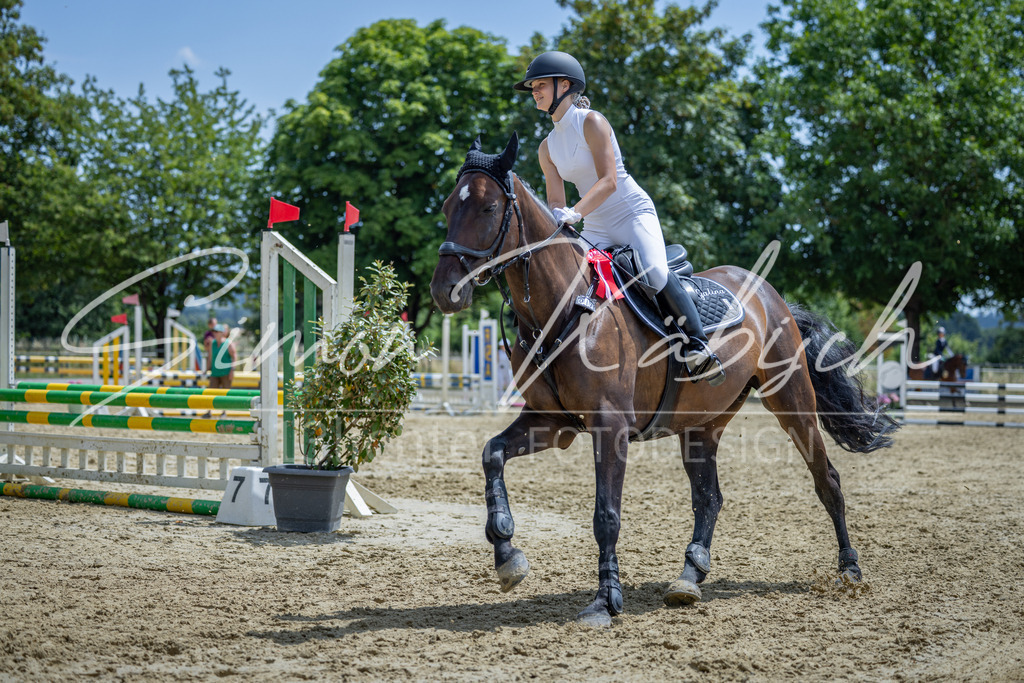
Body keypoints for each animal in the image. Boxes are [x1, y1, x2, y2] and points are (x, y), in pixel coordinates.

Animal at [429, 133, 899, 627]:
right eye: (446, 206)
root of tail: (773, 297)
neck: (565, 306)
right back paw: (689, 577)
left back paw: (849, 569)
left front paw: (605, 601)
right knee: (709, 498)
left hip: (792, 402)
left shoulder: (610, 426)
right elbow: (492, 454)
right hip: (701, 425)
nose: (444, 291)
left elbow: (606, 514)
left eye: (487, 208)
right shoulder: (552, 422)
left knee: (826, 479)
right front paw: (506, 553)